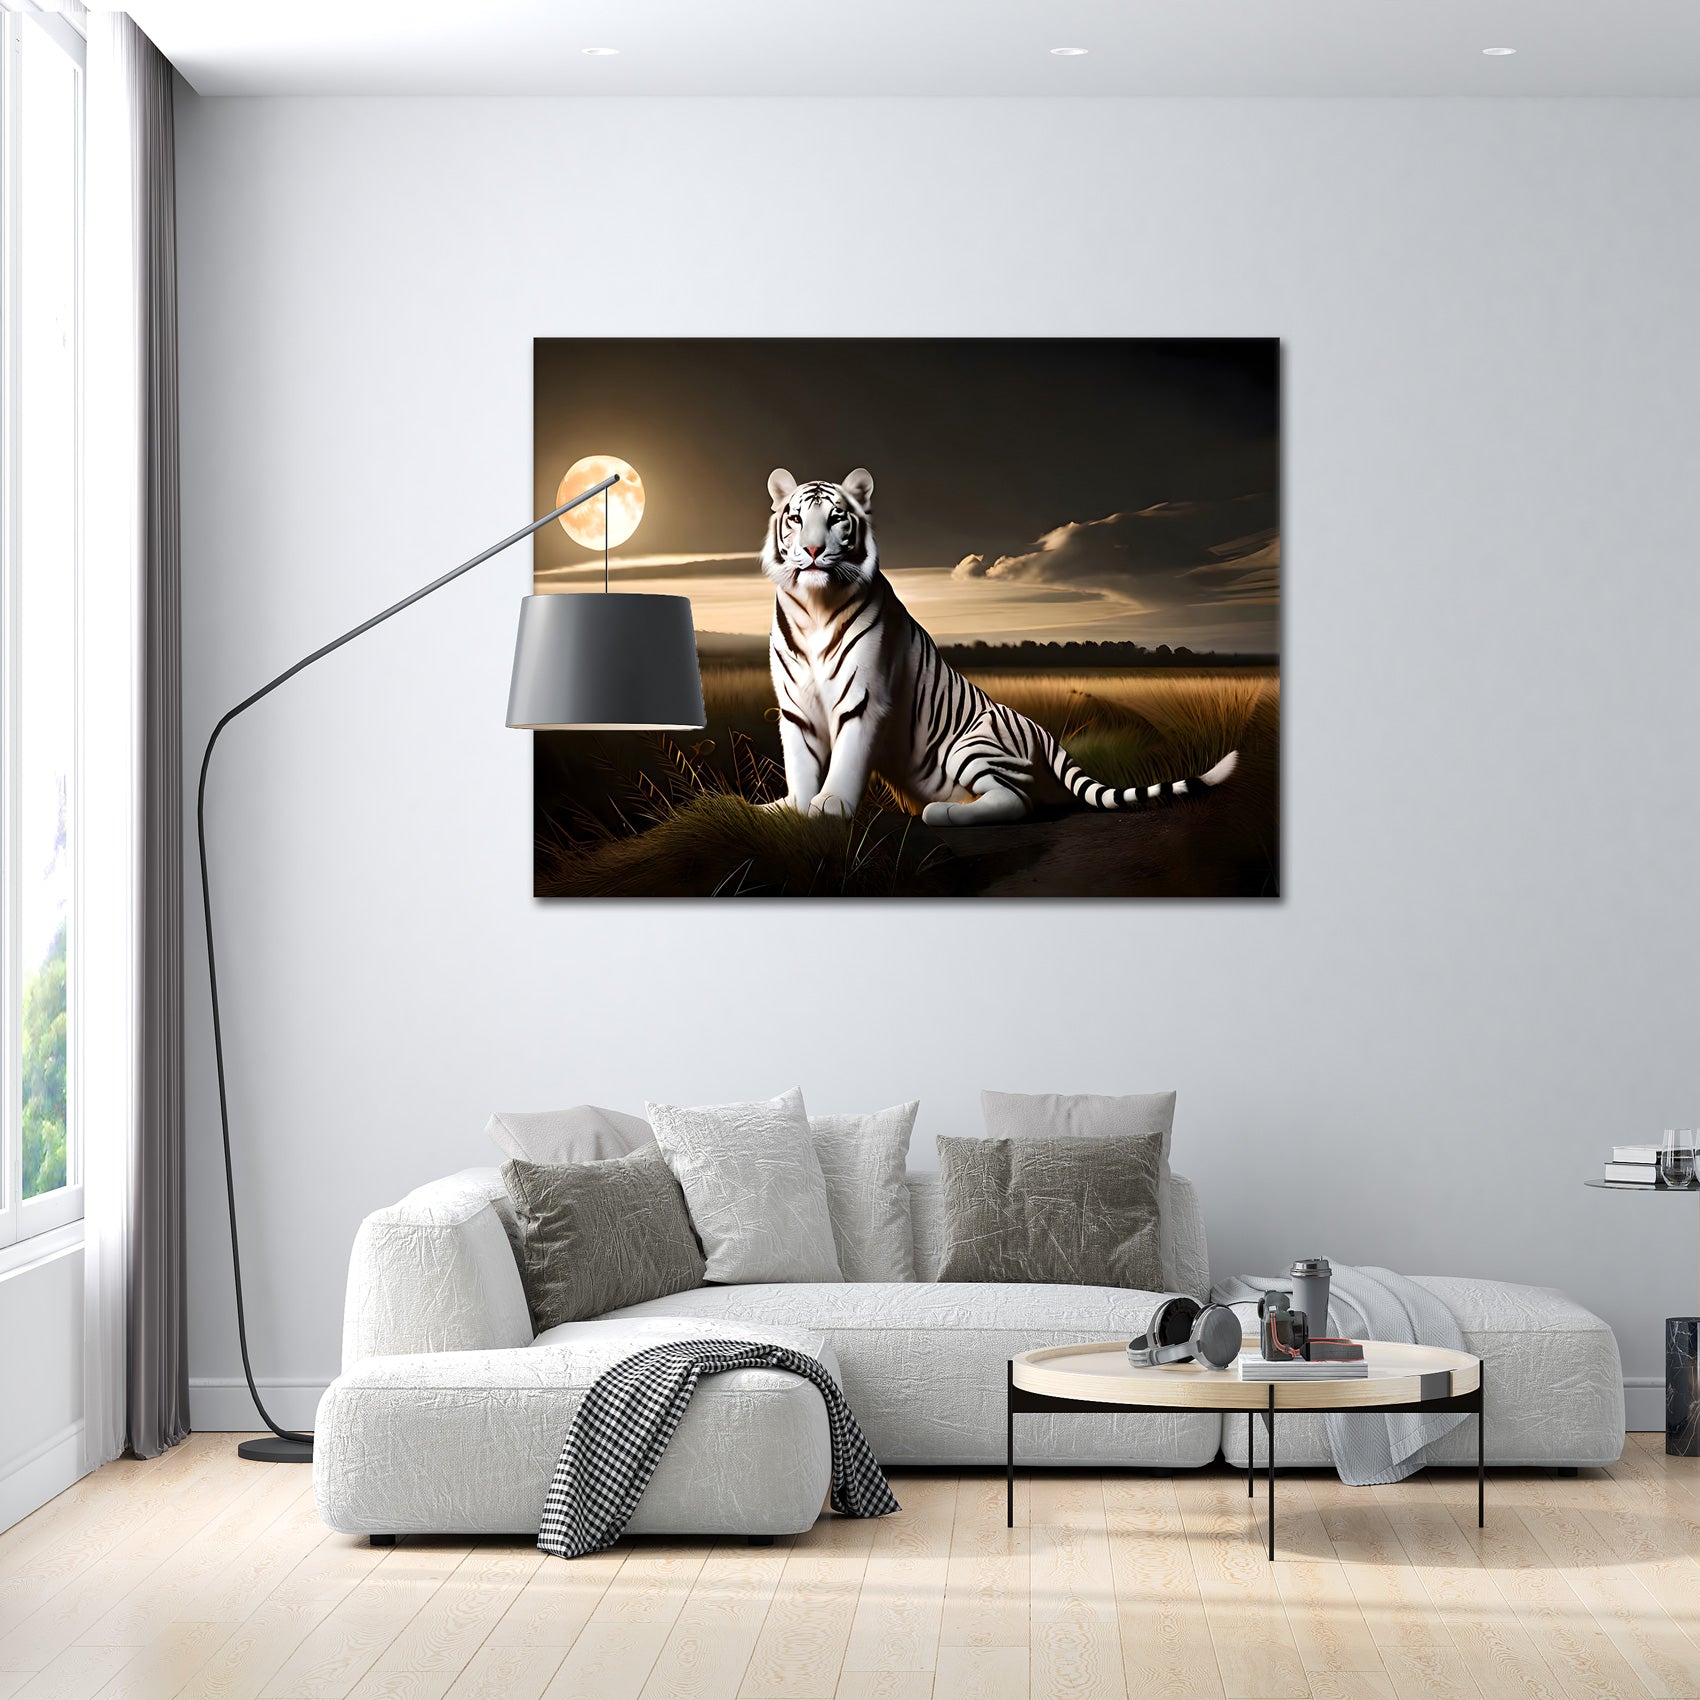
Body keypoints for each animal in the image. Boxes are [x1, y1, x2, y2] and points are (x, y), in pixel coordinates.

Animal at [760, 467, 1238, 826]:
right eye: (796, 519)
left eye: (837, 517)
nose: (813, 549)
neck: (816, 606)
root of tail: (1044, 733)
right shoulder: (795, 704)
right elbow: (800, 761)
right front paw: (789, 808)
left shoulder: (863, 698)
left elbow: (846, 758)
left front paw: (830, 808)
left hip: (972, 745)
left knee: (1017, 801)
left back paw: (943, 813)